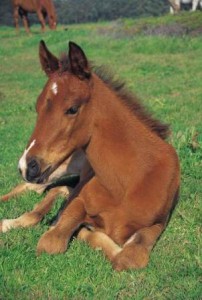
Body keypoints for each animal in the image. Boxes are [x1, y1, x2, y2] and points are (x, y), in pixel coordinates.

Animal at [0, 38, 180, 270]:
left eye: (72, 109)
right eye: (37, 107)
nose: (26, 166)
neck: (129, 182)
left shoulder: (157, 224)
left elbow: (128, 258)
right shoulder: (78, 203)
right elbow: (52, 241)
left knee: (53, 189)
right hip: (60, 166)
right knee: (33, 187)